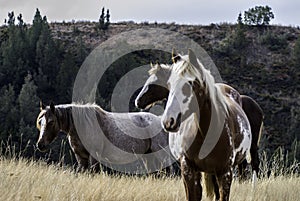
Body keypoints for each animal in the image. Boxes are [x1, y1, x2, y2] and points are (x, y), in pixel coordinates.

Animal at [35, 102, 172, 173]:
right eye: (40, 121)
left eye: (51, 122)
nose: (40, 144)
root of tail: (160, 120)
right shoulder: (81, 157)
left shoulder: (94, 156)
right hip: (149, 157)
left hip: (160, 155)